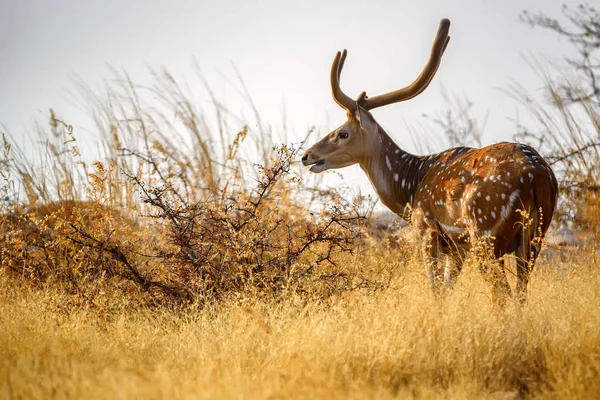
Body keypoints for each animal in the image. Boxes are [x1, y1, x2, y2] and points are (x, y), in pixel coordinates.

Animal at [302, 16, 560, 304]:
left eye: (343, 133)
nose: (307, 155)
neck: (410, 187)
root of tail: (537, 175)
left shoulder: (427, 230)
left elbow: (436, 291)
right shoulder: (457, 248)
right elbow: (447, 290)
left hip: (486, 230)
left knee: (501, 295)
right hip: (535, 236)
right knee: (521, 294)